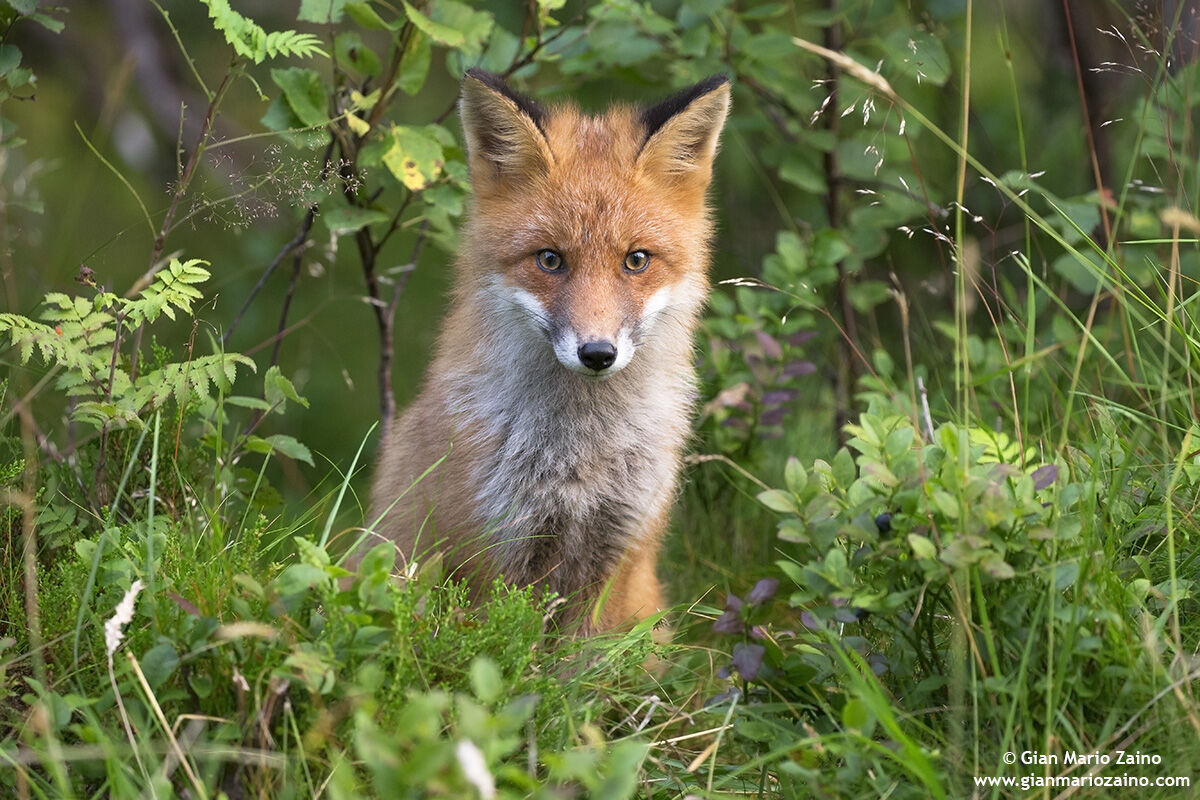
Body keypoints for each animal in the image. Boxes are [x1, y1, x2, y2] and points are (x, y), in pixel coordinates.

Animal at [366, 68, 731, 633]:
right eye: (550, 259)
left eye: (637, 260)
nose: (597, 353)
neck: (580, 454)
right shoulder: (491, 552)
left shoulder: (618, 553)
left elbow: (586, 655)